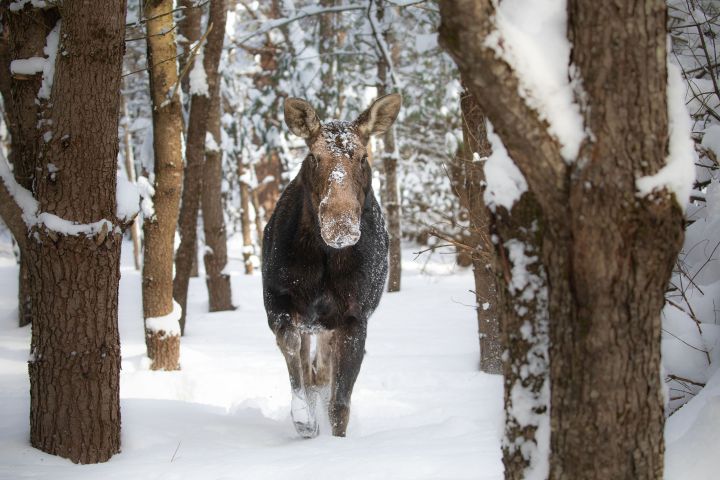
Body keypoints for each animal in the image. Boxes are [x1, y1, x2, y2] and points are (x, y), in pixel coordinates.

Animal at [262, 92, 402, 436]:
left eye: (363, 157)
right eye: (313, 156)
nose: (341, 226)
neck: (324, 261)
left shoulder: (355, 316)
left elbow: (339, 404)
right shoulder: (277, 300)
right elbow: (292, 349)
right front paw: (303, 419)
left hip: (330, 325)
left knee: (322, 372)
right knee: (311, 367)